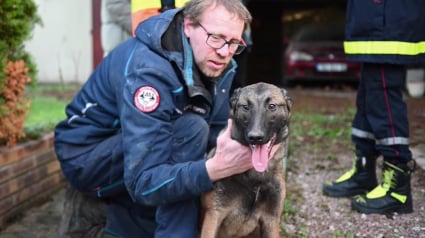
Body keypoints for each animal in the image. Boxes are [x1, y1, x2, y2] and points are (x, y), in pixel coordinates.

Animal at [200, 82, 292, 238]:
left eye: (272, 106)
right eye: (246, 107)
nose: (255, 137)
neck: (255, 176)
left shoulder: (271, 221)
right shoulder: (213, 216)